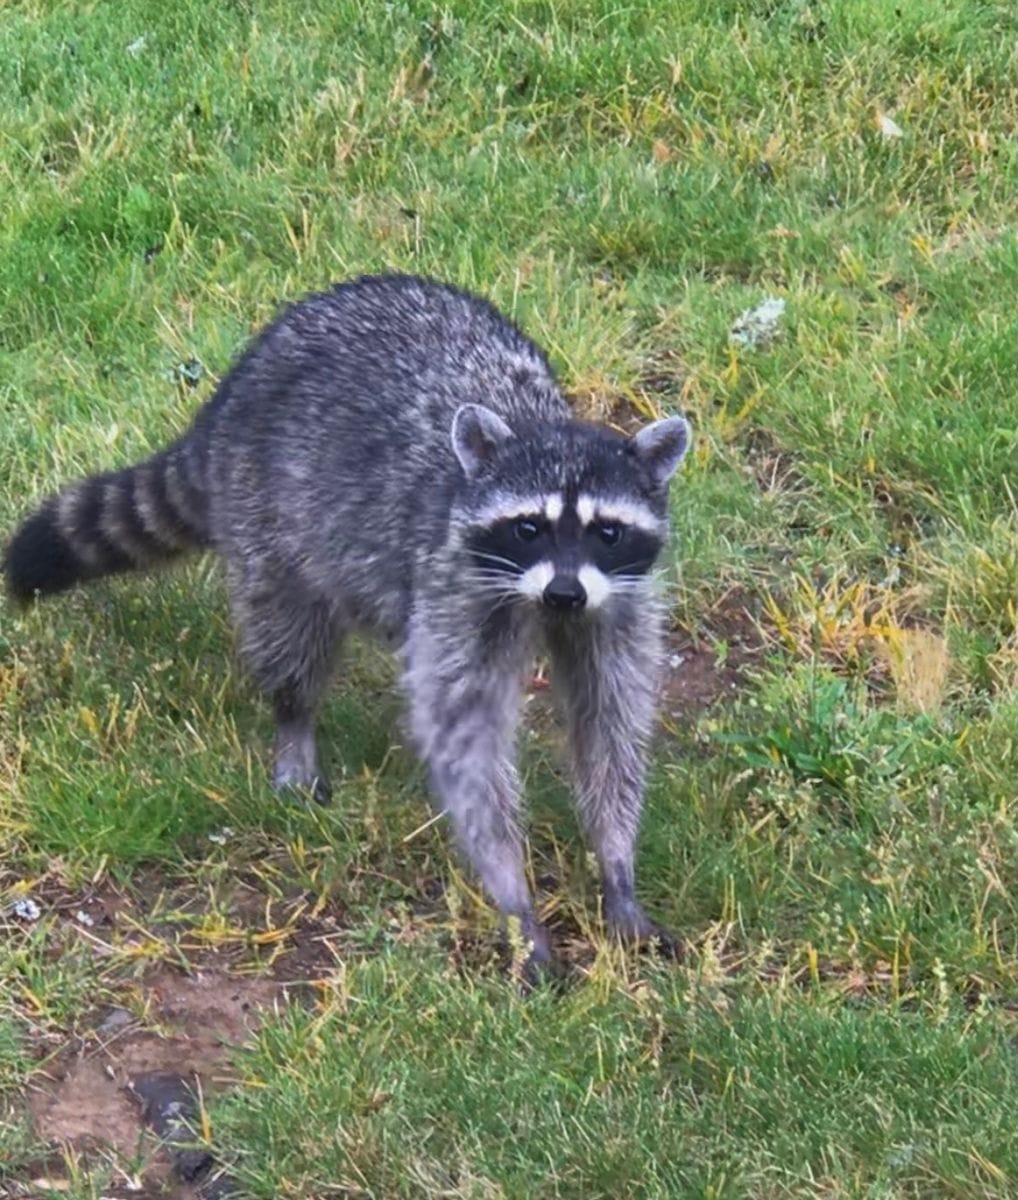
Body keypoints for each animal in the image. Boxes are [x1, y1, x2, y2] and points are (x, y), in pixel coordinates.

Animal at [3, 274, 691, 974]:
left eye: (607, 532)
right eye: (529, 528)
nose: (564, 592)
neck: (536, 424)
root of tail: (230, 395)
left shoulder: (618, 604)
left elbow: (610, 726)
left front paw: (616, 865)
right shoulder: (453, 588)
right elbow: (466, 742)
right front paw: (515, 899)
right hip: (266, 516)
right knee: (289, 632)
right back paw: (294, 722)